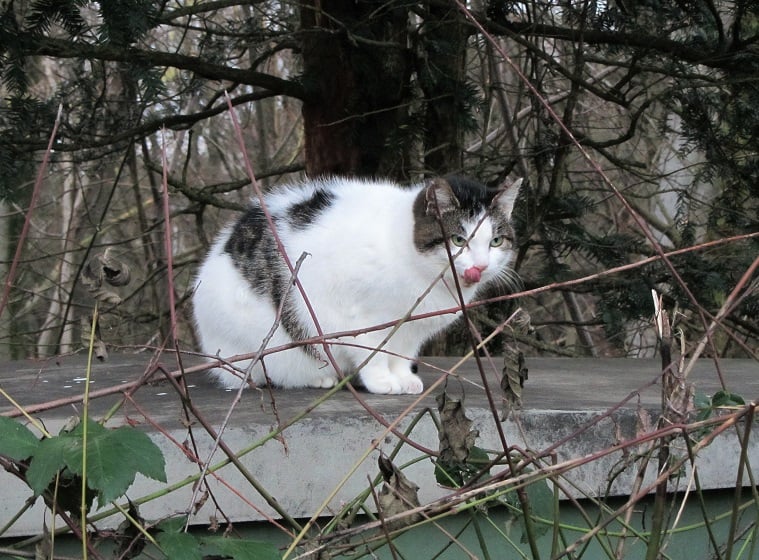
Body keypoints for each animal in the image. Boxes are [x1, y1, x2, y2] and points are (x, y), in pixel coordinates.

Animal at [191, 175, 524, 394]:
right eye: (458, 239)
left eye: (495, 241)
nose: (481, 265)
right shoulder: (362, 317)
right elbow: (373, 351)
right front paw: (382, 382)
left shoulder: (411, 329)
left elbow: (401, 355)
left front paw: (404, 378)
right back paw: (317, 378)